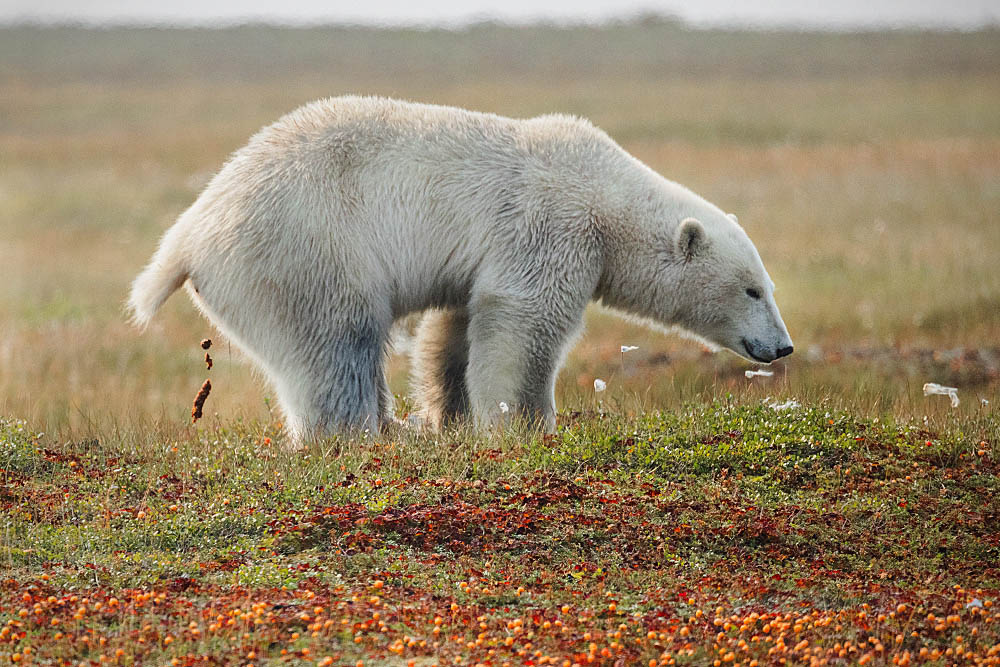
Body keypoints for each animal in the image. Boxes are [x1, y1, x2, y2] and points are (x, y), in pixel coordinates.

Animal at [131, 92, 788, 438]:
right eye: (752, 290)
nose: (781, 346)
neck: (606, 195)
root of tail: (188, 233)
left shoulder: (484, 260)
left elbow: (458, 325)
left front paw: (451, 415)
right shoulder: (549, 224)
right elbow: (524, 322)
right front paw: (527, 424)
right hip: (304, 246)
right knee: (339, 338)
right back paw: (363, 433)